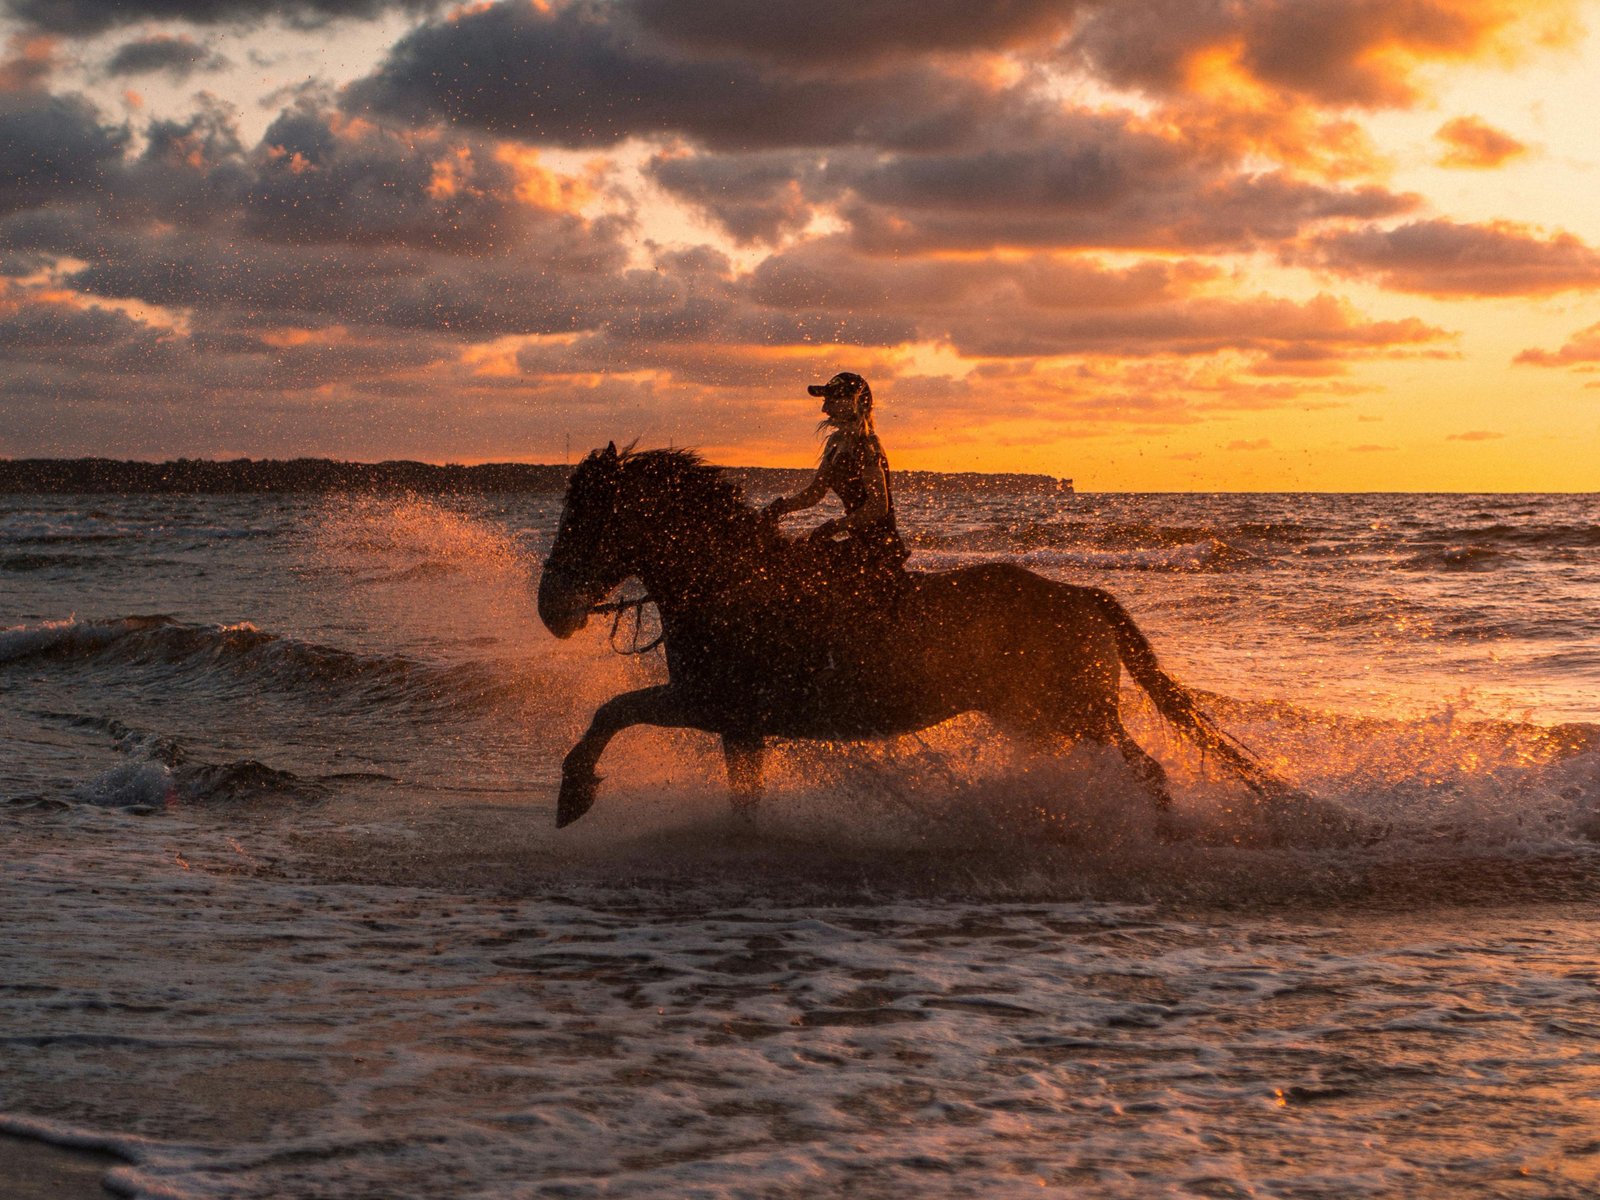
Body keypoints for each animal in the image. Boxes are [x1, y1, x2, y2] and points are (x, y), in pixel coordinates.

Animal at [537, 443, 1290, 829]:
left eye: (586, 517)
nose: (551, 610)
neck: (730, 582)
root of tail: (1080, 598)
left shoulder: (711, 703)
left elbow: (612, 711)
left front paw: (574, 795)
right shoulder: (737, 725)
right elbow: (738, 798)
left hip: (1077, 714)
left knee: (1149, 769)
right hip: (1038, 719)